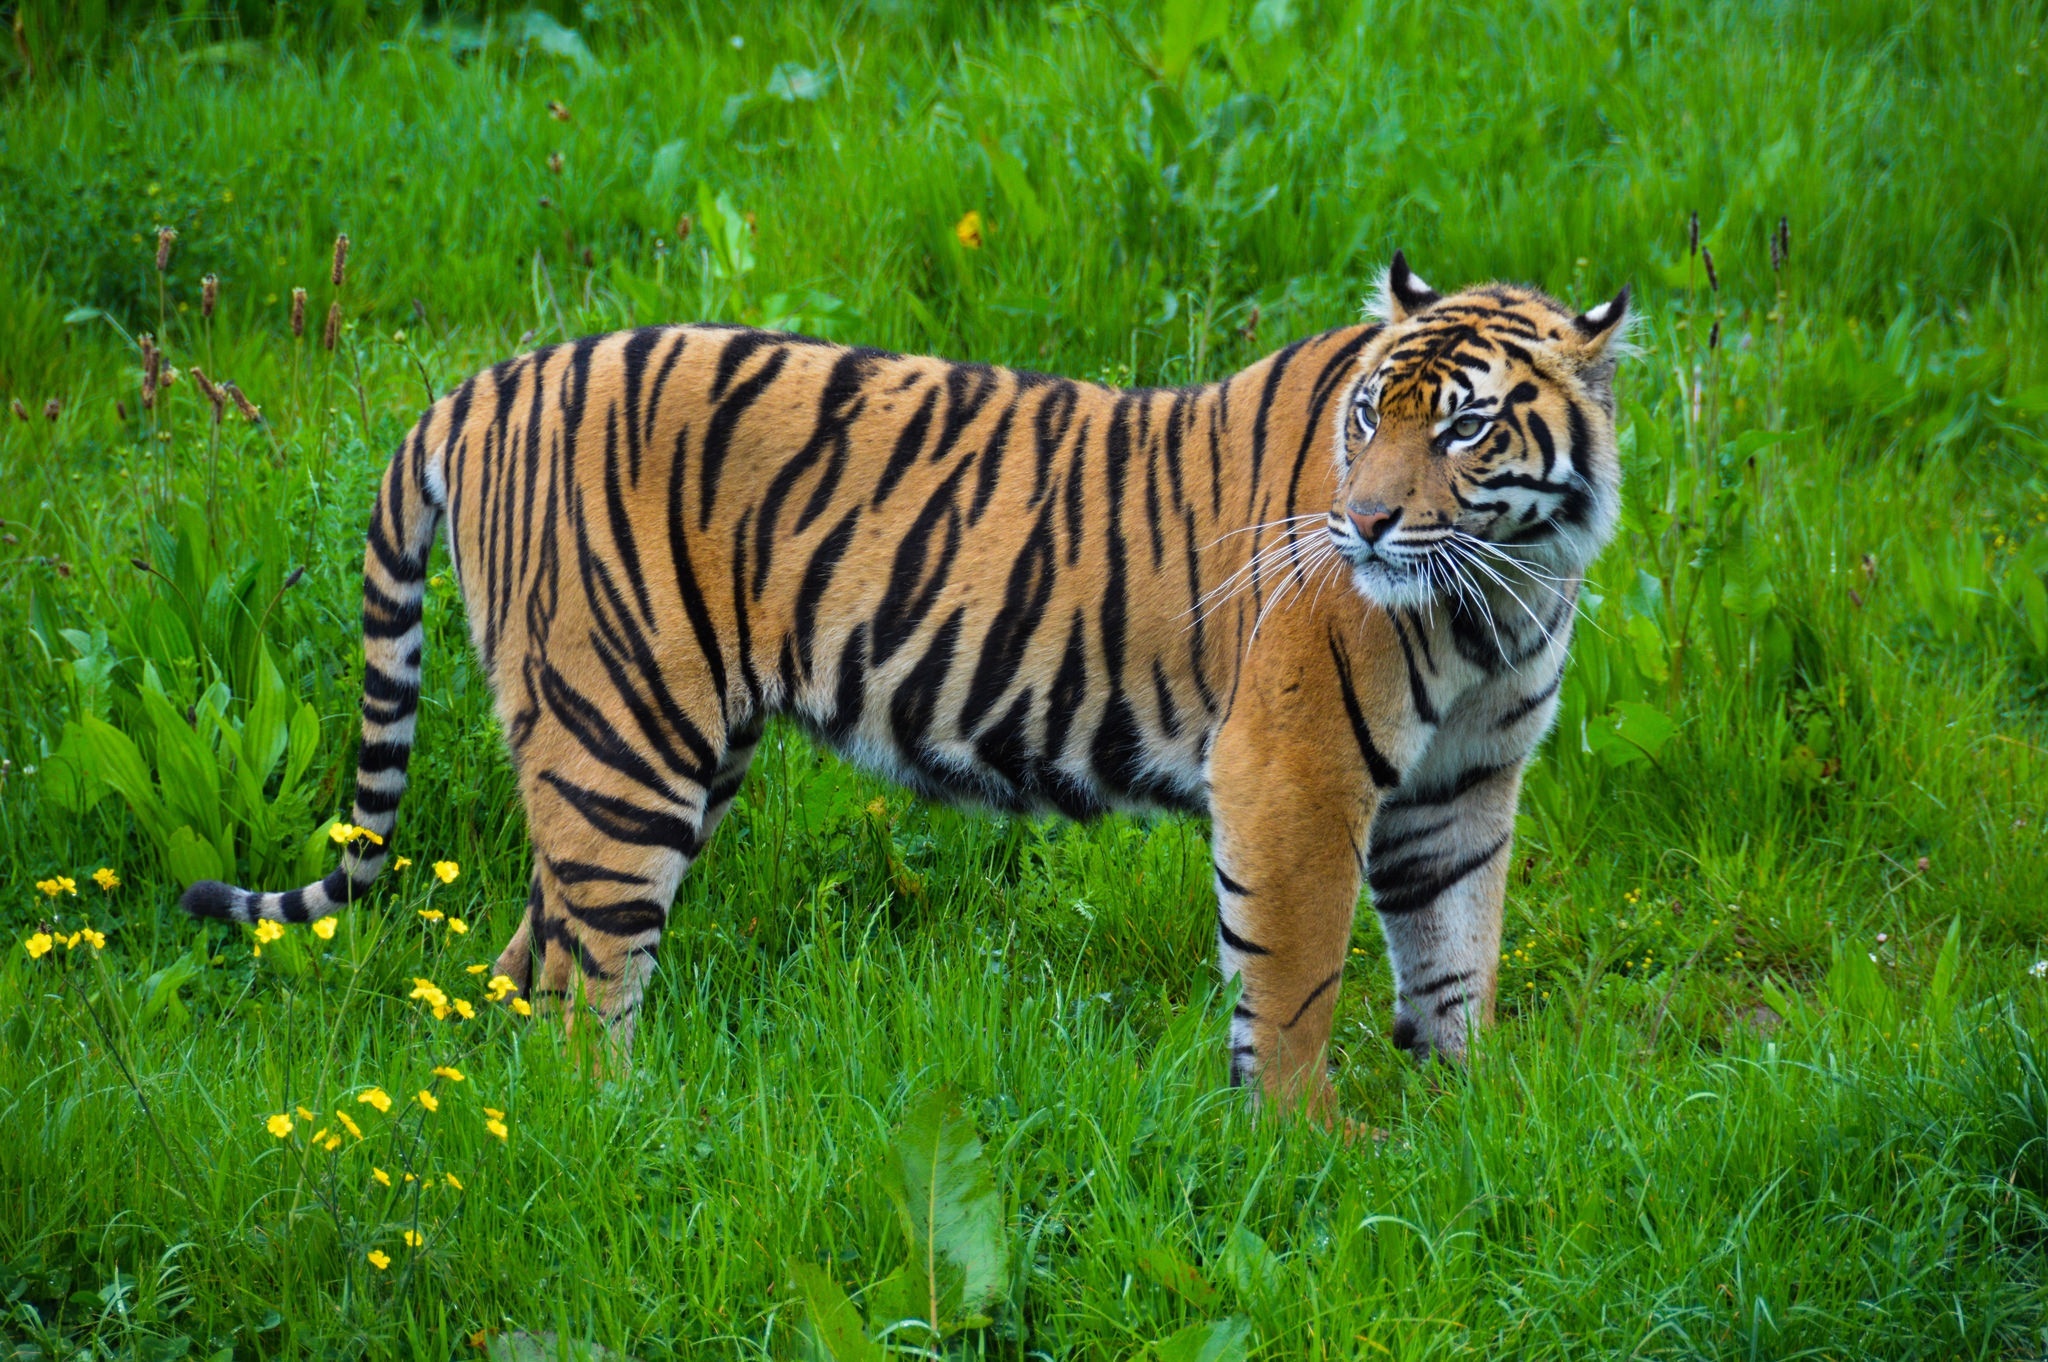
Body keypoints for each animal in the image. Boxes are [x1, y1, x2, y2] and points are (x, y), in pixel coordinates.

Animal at [180, 254, 1630, 1114]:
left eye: (1465, 426)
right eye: (1371, 416)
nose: (1367, 525)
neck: (1506, 582)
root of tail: (486, 381)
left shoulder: (1463, 785)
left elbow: (1454, 951)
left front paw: (1465, 1122)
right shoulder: (1295, 774)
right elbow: (1296, 977)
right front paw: (1305, 1151)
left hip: (655, 751)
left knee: (528, 962)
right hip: (622, 745)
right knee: (584, 991)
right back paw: (626, 1138)